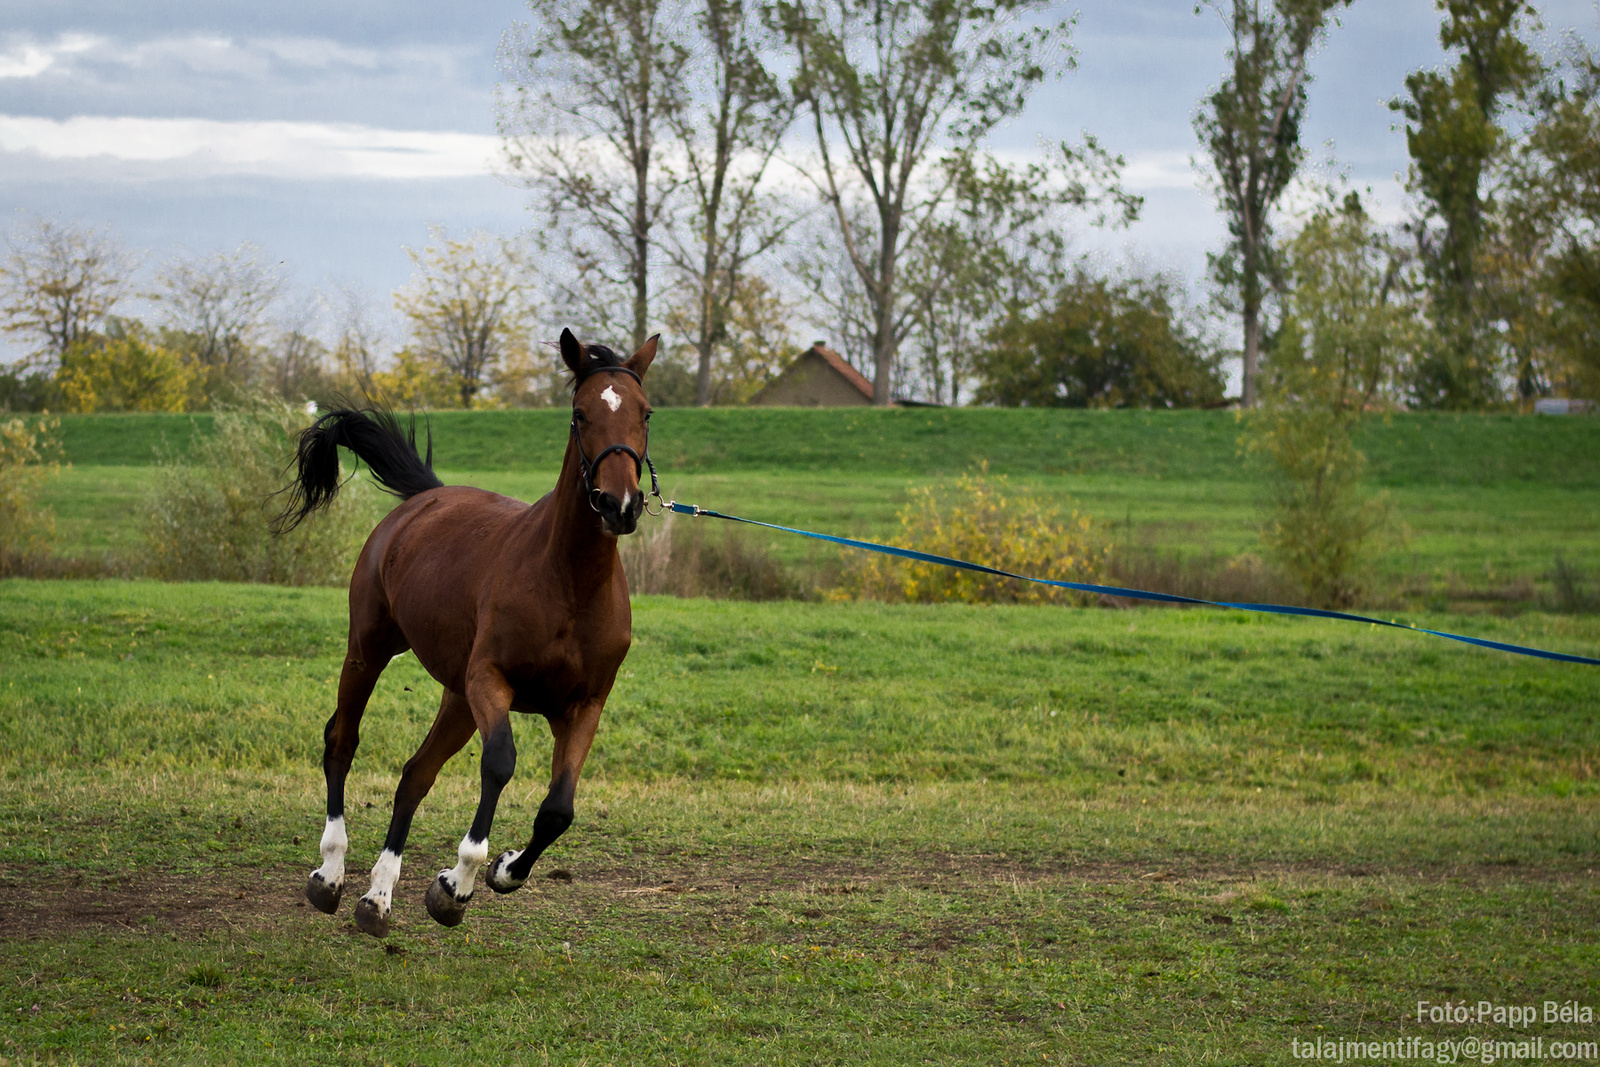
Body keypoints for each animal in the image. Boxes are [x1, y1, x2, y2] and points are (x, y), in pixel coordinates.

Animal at [275, 329, 656, 940]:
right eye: (580, 413)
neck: (569, 583)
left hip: (455, 697)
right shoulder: (489, 680)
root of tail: (426, 497)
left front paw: (502, 870)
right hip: (370, 650)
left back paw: (377, 899)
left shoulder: (584, 704)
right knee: (342, 740)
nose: (618, 504)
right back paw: (331, 875)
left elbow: (558, 810)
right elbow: (499, 761)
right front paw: (458, 882)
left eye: (645, 412)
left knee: (415, 775)